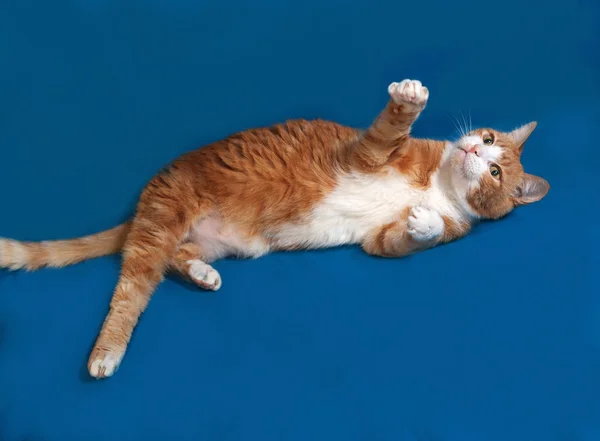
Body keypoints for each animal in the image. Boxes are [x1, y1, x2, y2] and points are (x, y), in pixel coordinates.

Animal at [0, 77, 548, 376]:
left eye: (497, 171)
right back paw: (107, 352)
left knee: (172, 261)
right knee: (131, 292)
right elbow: (391, 127)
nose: (473, 148)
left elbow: (404, 238)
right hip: (162, 221)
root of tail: (142, 210)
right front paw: (410, 101)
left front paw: (425, 221)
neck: (437, 183)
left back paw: (201, 274)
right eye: (488, 138)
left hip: (221, 244)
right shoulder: (367, 153)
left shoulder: (380, 241)